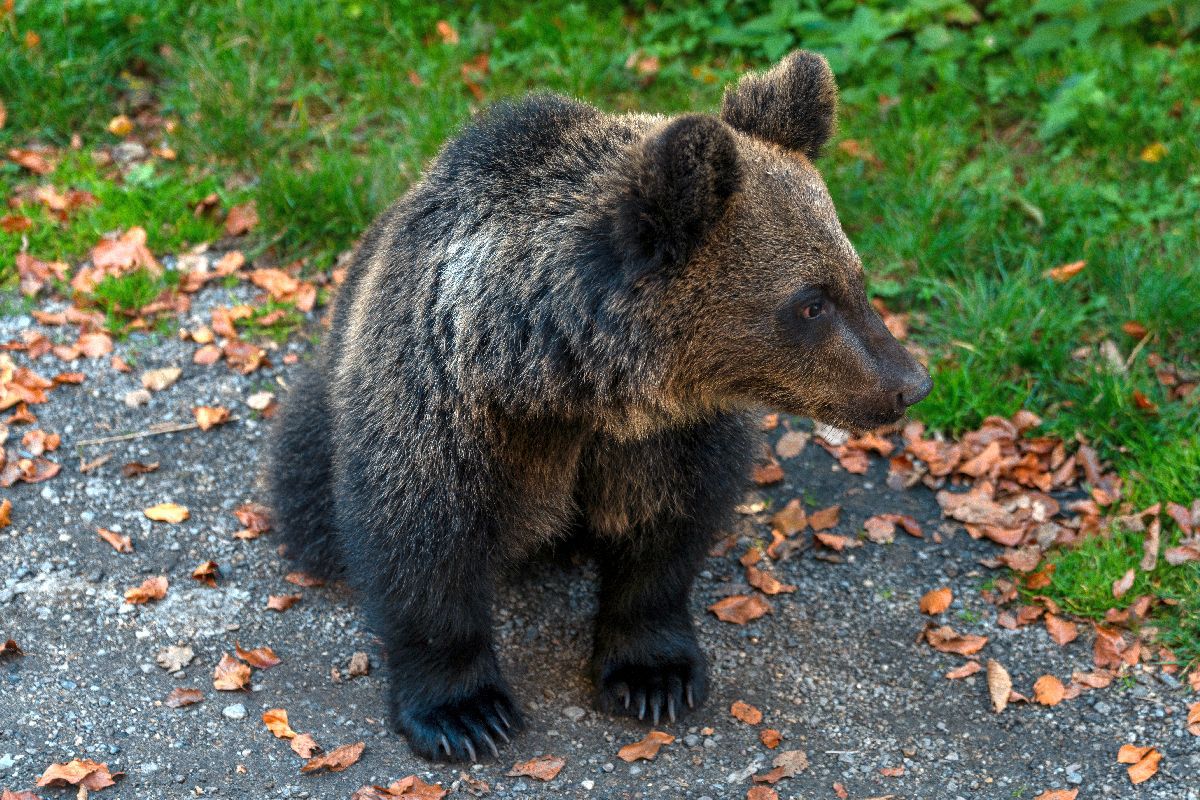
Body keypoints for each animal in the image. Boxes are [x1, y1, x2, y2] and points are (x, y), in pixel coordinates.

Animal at [270, 48, 926, 762]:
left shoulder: (664, 437)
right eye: (809, 303)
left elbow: (664, 535)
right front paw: (464, 713)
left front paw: (654, 676)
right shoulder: (443, 404)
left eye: (855, 278)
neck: (558, 382)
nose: (910, 383)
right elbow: (421, 541)